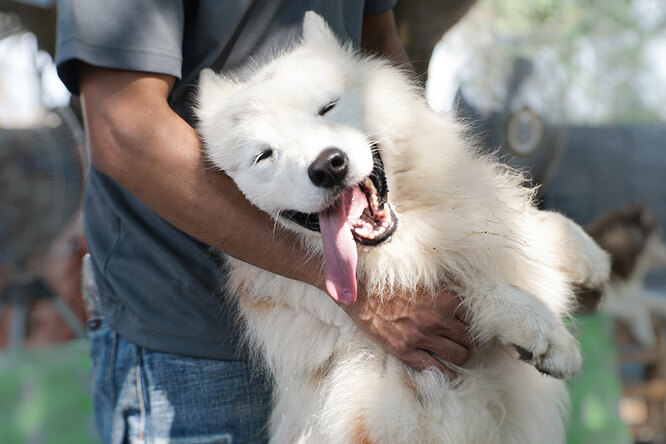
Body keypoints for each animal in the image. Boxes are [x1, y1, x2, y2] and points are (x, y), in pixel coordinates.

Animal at [195, 12, 608, 442]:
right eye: (263, 156)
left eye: (327, 107)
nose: (328, 165)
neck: (411, 236)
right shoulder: (407, 399)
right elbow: (475, 287)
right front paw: (547, 335)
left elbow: (523, 224)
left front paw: (589, 257)